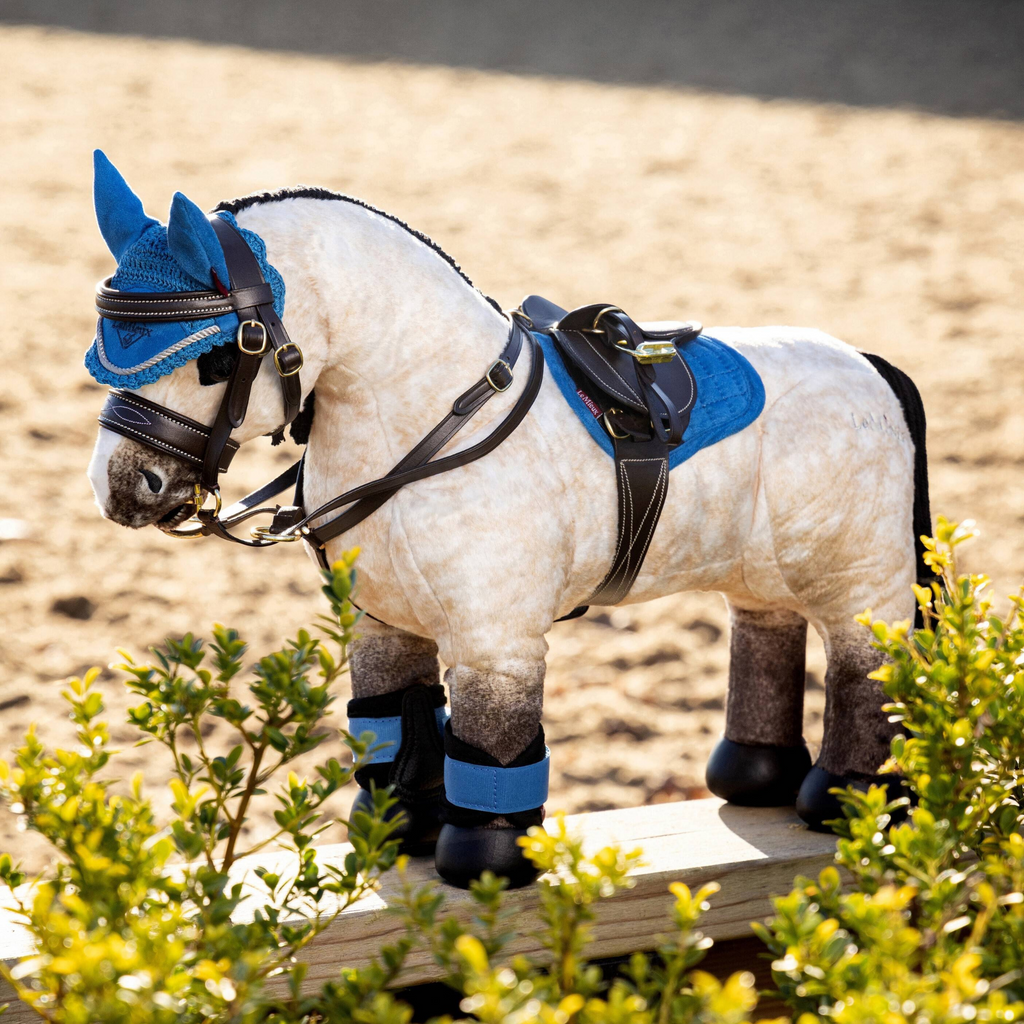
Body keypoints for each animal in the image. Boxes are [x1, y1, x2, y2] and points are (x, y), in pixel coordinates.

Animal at [85, 151, 929, 888]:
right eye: (103, 350)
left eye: (218, 358)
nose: (122, 488)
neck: (429, 417)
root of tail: (867, 362)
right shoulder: (383, 624)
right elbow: (397, 723)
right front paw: (398, 832)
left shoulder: (496, 642)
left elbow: (492, 746)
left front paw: (484, 864)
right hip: (764, 571)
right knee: (767, 631)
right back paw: (754, 777)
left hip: (863, 583)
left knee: (864, 667)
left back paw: (850, 798)